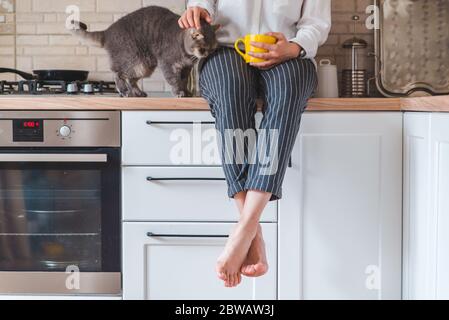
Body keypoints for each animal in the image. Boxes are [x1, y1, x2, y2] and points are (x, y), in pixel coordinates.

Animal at [72, 5, 219, 96]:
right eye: (203, 49)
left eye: (212, 49)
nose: (207, 54)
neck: (186, 55)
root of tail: (108, 31)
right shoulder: (168, 64)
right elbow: (174, 80)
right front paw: (178, 92)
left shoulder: (186, 69)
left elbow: (183, 81)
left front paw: (187, 91)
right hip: (133, 60)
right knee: (117, 74)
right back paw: (124, 90)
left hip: (143, 67)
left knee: (131, 80)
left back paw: (137, 92)